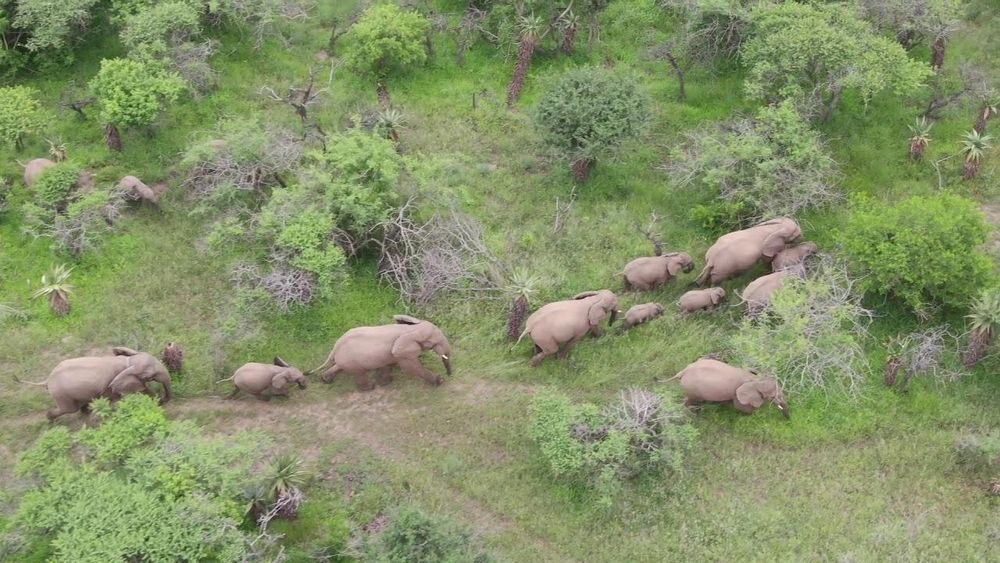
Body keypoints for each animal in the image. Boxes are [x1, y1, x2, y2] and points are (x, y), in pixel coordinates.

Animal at [15, 346, 172, 421]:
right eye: (149, 376)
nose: (164, 399)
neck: (128, 362)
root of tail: (47, 379)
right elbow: (140, 391)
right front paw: (156, 401)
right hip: (61, 395)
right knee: (69, 409)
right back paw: (51, 420)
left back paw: (87, 412)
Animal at [309, 315, 452, 391]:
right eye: (434, 343)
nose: (449, 374)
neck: (410, 329)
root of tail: (335, 347)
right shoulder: (403, 352)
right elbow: (410, 368)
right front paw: (440, 381)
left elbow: (388, 364)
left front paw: (386, 382)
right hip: (353, 362)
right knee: (360, 373)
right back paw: (370, 387)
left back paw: (326, 380)